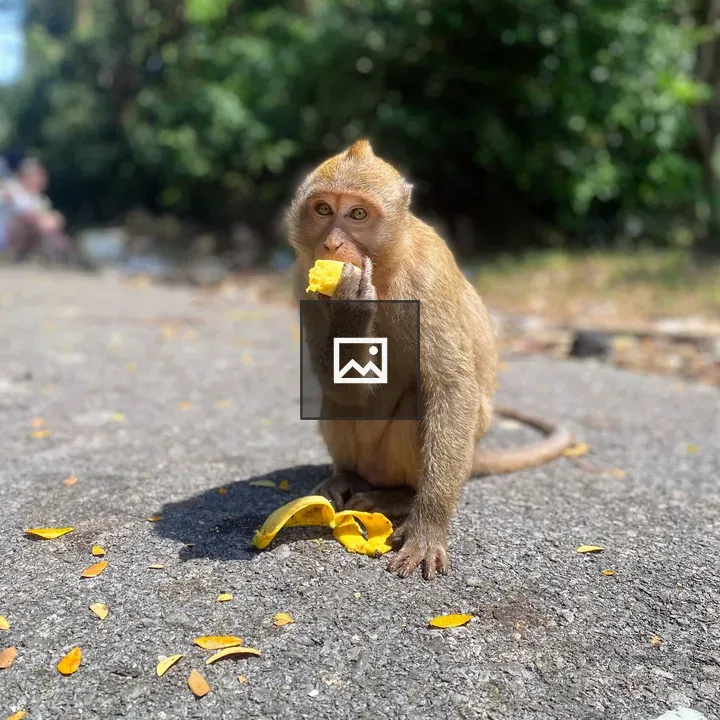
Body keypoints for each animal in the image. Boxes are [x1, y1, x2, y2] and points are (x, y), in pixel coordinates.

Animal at [287, 139, 573, 580]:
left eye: (357, 214)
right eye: (322, 209)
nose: (332, 246)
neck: (384, 270)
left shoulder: (426, 278)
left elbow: (450, 388)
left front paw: (428, 527)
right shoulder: (303, 273)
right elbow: (345, 385)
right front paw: (348, 309)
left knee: (422, 398)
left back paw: (400, 499)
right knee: (335, 403)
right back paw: (346, 477)